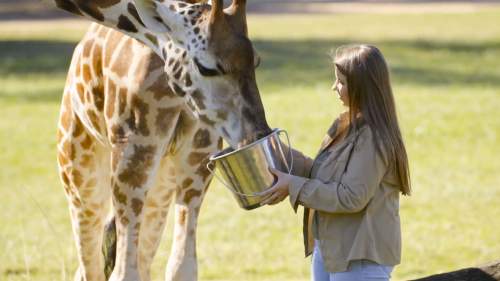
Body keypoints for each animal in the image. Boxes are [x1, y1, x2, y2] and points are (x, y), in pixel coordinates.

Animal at [47, 0, 270, 280]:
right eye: (206, 67)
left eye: (256, 61)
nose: (258, 135)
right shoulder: (132, 151)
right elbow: (124, 273)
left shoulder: (196, 154)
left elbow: (180, 267)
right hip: (79, 171)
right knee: (91, 268)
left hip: (157, 186)